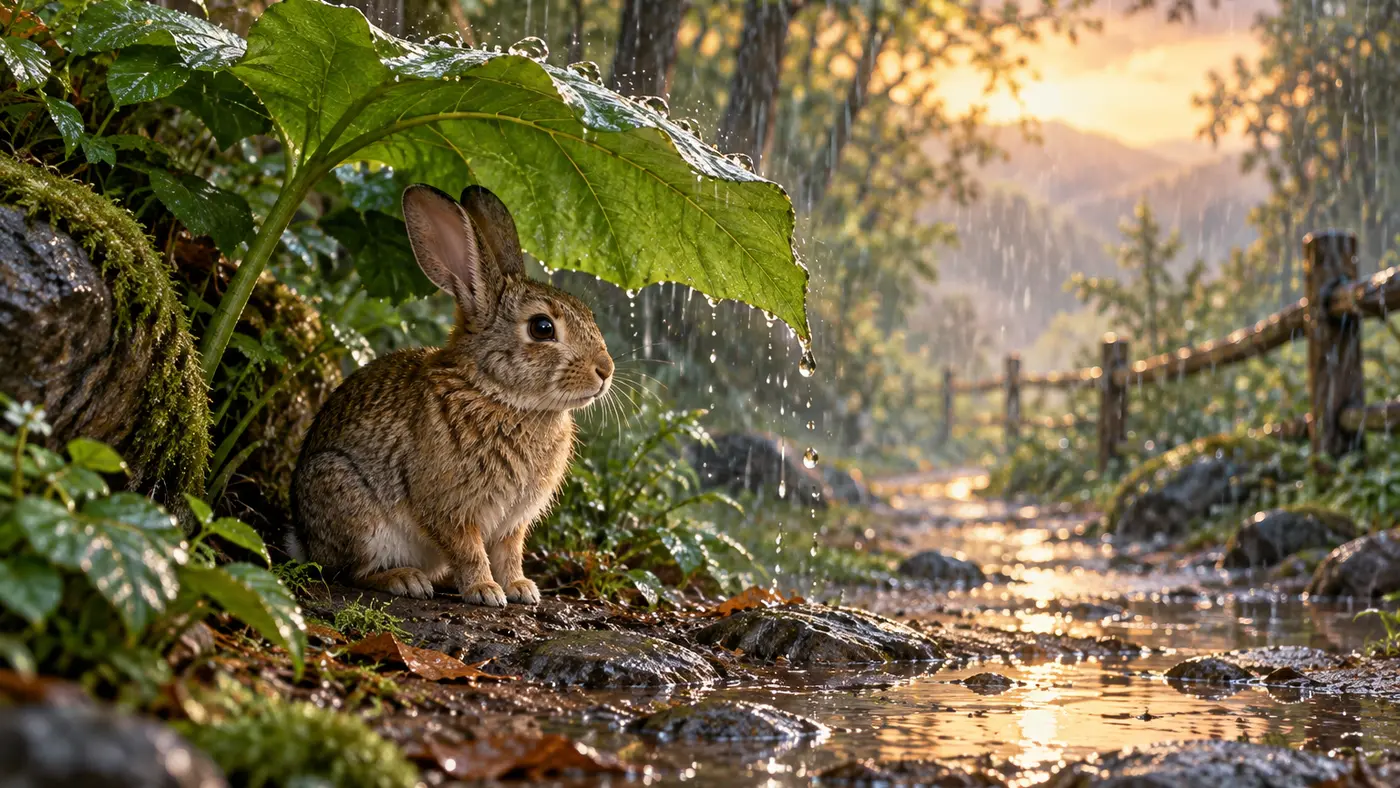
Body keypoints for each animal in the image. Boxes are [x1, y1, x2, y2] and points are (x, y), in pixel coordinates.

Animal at [288, 184, 613, 606]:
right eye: (542, 328)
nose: (605, 370)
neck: (498, 396)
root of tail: (304, 541)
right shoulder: (450, 508)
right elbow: (468, 548)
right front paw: (485, 590)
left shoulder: (513, 522)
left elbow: (510, 552)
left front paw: (521, 589)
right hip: (352, 507)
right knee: (352, 571)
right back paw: (404, 580)